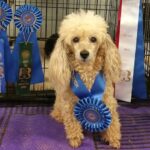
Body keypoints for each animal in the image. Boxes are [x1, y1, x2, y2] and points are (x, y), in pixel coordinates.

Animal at [48, 10, 121, 149]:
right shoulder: (69, 102)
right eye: (75, 39)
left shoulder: (107, 98)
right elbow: (72, 121)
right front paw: (75, 139)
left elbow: (113, 120)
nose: (84, 54)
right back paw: (58, 116)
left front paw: (113, 138)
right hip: (60, 100)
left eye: (93, 39)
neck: (86, 72)